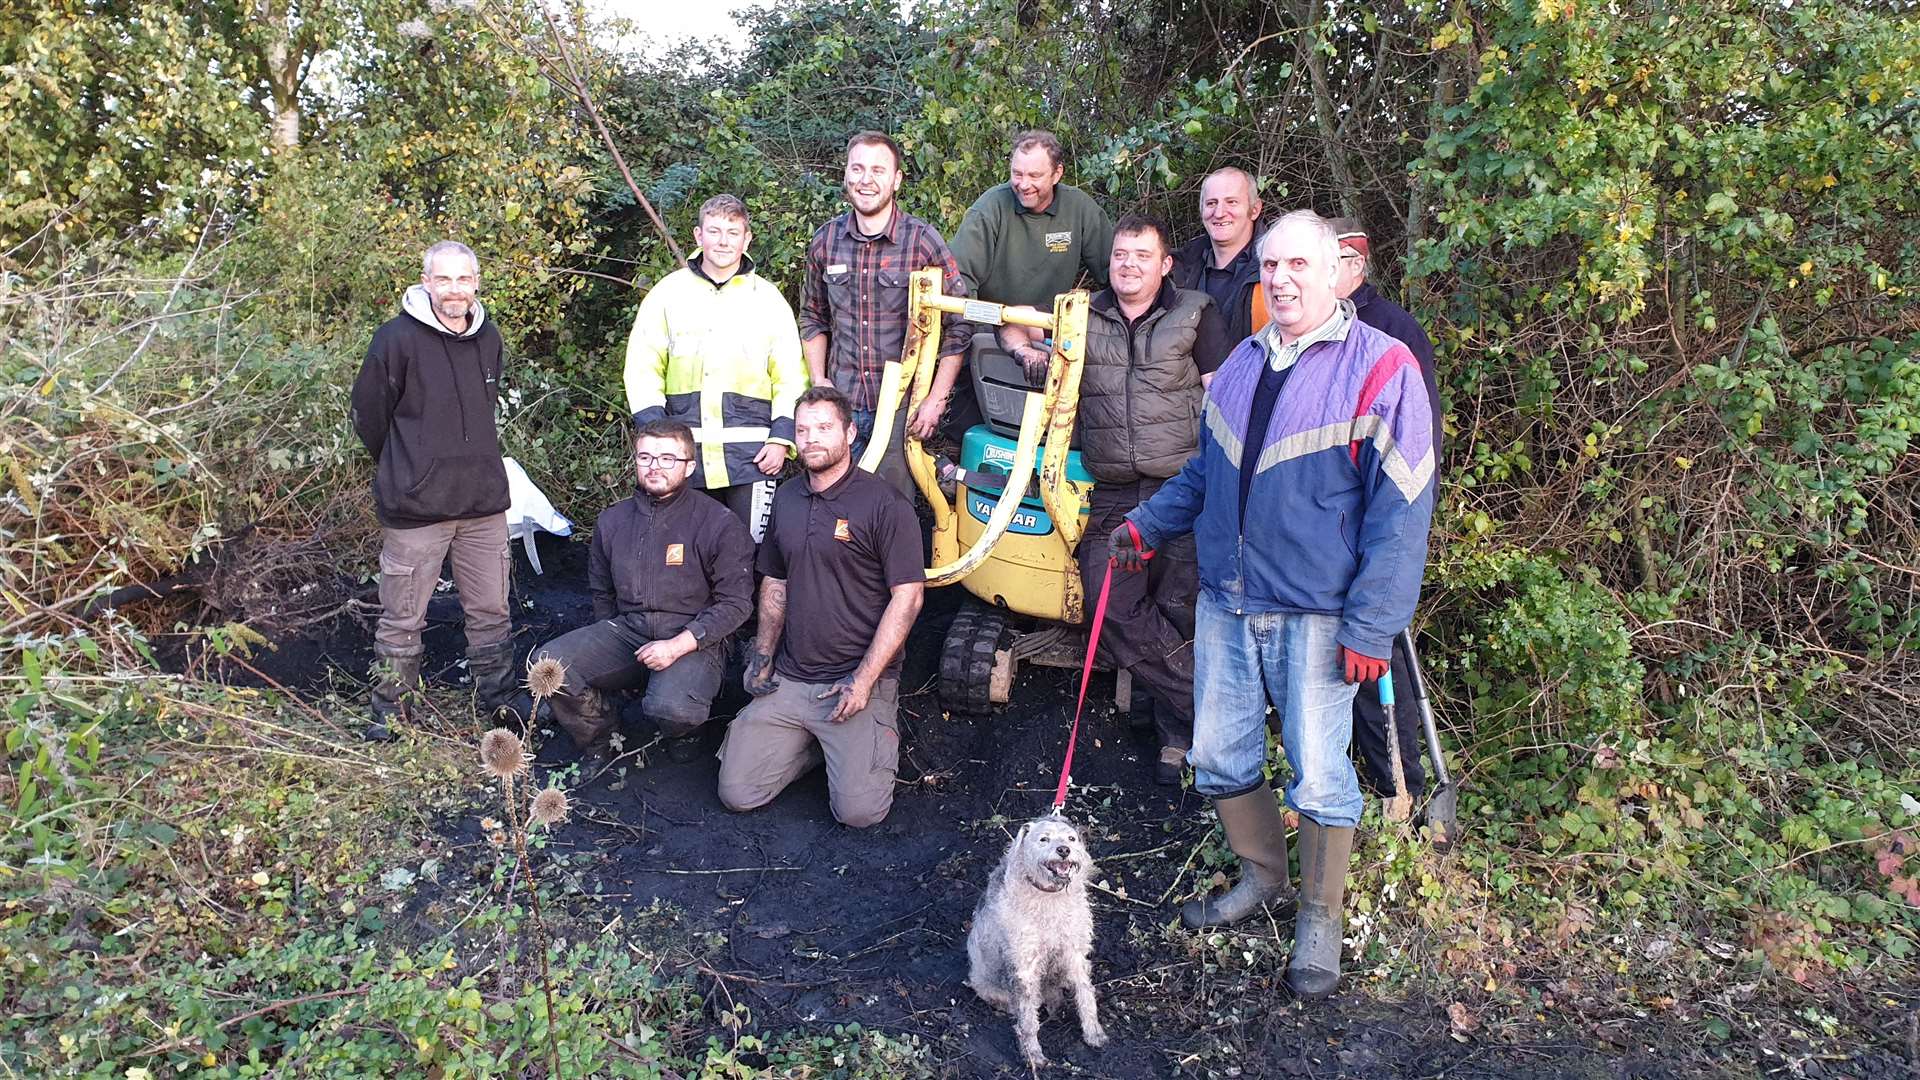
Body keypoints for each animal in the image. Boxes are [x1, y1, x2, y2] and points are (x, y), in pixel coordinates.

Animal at [967, 810, 1105, 1060]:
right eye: (1044, 839)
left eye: (1071, 839)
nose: (1064, 850)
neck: (1049, 896)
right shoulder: (1025, 965)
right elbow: (1028, 1017)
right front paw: (1033, 1055)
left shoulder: (1074, 950)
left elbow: (1085, 993)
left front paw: (1094, 1033)